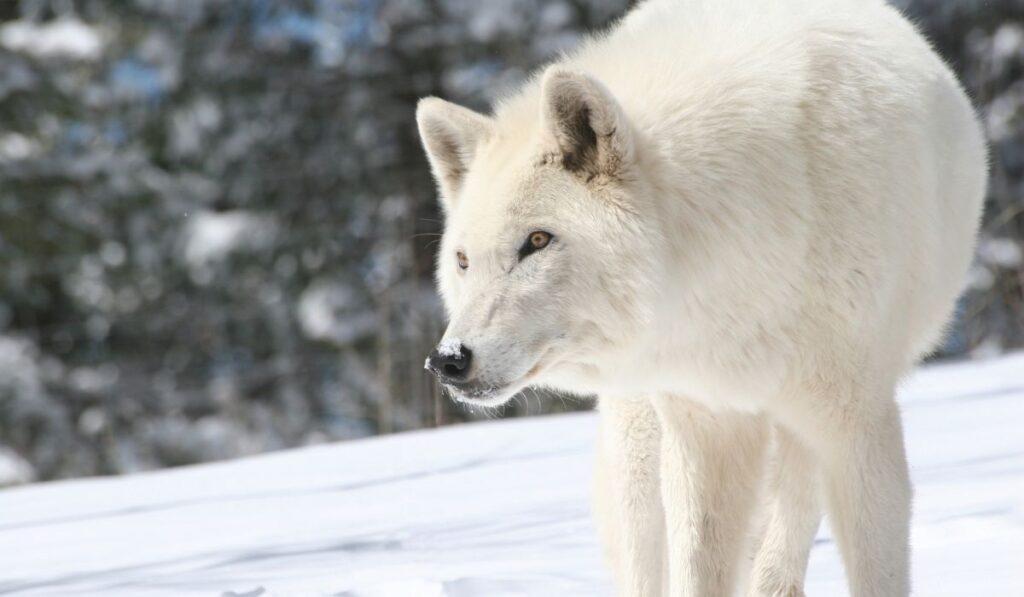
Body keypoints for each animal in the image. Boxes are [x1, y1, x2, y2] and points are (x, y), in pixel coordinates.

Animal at [417, 0, 987, 595]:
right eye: (463, 261)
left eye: (537, 241)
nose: (447, 361)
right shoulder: (705, 422)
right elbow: (697, 569)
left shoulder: (856, 421)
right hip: (642, 440)